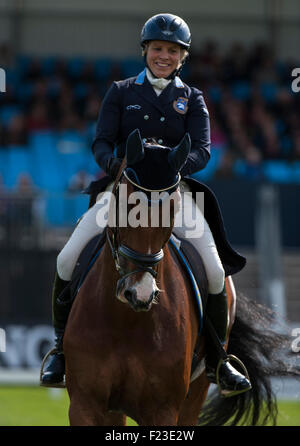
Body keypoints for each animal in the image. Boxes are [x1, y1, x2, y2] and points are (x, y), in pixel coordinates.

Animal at [62, 128, 300, 426]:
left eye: (172, 209)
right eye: (127, 206)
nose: (139, 293)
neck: (126, 320)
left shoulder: (162, 409)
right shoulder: (85, 405)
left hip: (196, 392)